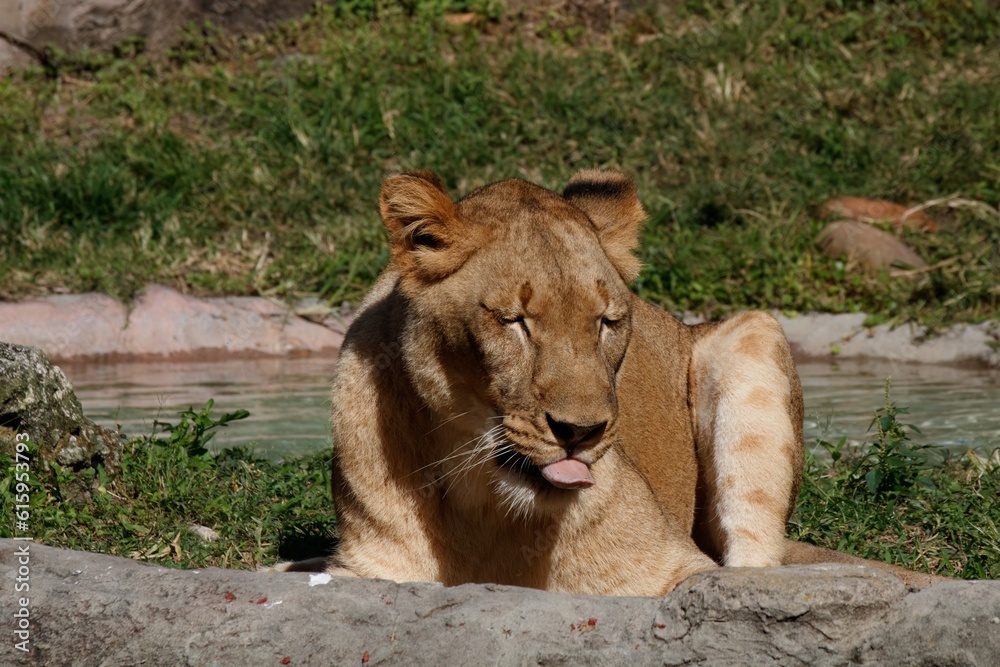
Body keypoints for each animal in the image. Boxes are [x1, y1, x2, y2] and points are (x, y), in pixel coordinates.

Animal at [323, 169, 943, 594]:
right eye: (515, 321)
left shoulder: (679, 568)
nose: (581, 432)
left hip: (754, 333)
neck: (486, 509)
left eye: (608, 322)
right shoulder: (365, 570)